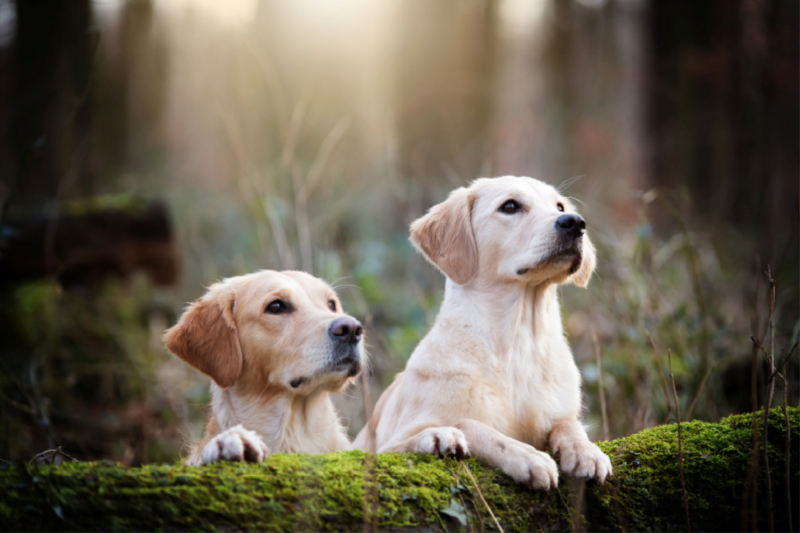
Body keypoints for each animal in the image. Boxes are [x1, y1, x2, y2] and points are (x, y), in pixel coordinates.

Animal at [354, 176, 608, 490]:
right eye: (510, 206)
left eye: (560, 206)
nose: (575, 223)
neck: (518, 344)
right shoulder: (386, 447)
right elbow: (471, 424)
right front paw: (526, 455)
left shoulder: (559, 413)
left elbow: (568, 424)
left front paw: (586, 451)